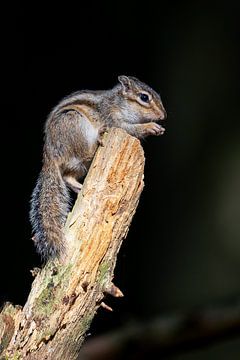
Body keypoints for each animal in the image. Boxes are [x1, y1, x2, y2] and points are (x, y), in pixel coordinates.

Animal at [29, 76, 166, 260]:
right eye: (144, 97)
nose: (163, 115)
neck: (117, 102)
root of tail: (49, 156)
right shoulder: (113, 119)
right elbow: (128, 128)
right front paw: (149, 127)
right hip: (75, 123)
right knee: (83, 156)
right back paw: (96, 144)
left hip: (78, 165)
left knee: (67, 177)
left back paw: (80, 187)